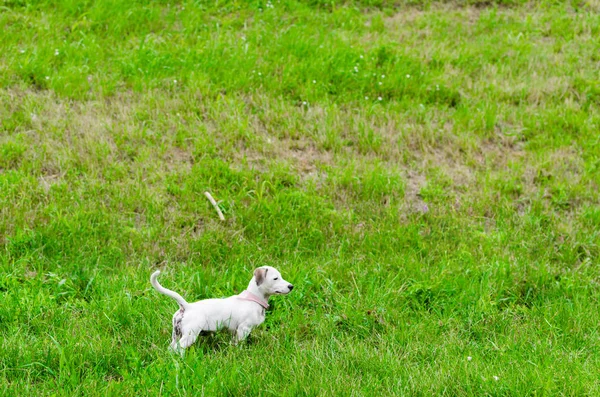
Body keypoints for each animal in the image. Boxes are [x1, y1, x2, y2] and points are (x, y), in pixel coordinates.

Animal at [149, 264, 290, 352]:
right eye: (275, 278)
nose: (291, 286)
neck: (253, 298)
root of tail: (187, 306)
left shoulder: (235, 332)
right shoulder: (243, 329)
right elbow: (239, 343)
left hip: (176, 333)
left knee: (171, 348)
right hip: (189, 335)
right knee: (178, 348)